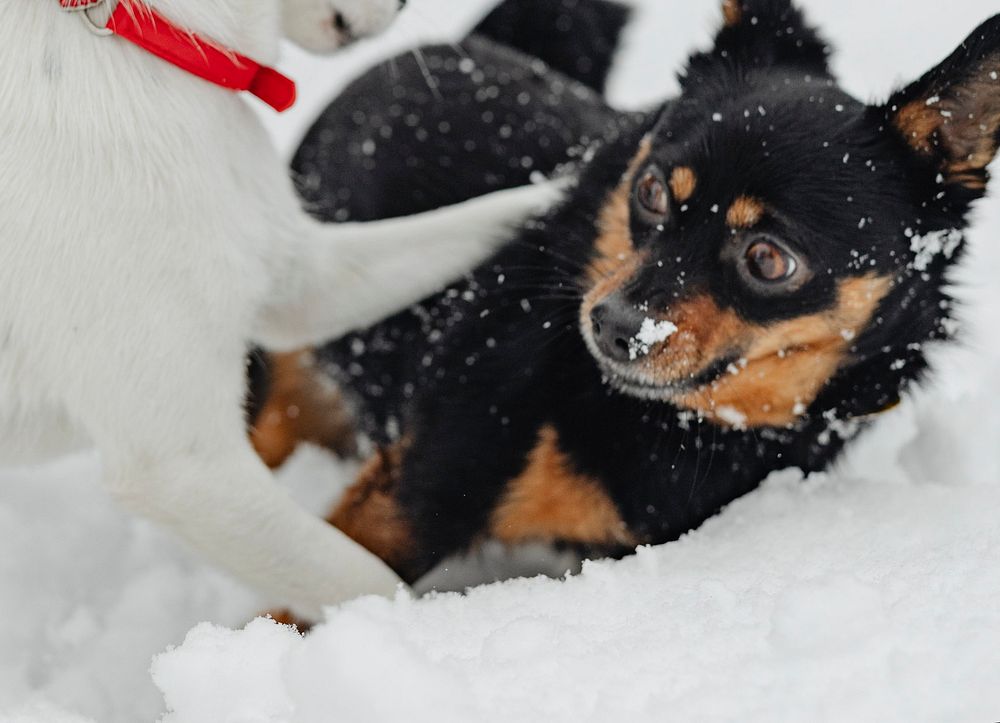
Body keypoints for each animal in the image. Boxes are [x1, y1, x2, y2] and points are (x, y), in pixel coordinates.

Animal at [0, 0, 564, 612]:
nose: (405, 6)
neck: (141, 32)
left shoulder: (298, 280)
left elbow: (477, 220)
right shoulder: (184, 467)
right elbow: (363, 580)